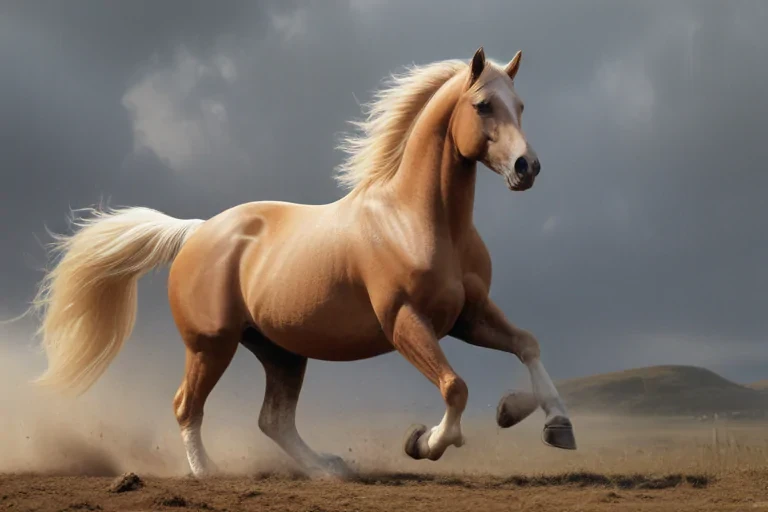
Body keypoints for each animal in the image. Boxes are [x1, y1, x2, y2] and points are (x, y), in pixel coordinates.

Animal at [26, 46, 576, 479]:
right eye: (483, 105)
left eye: (520, 106)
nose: (528, 168)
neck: (419, 221)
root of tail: (197, 231)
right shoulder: (405, 322)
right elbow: (455, 386)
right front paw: (424, 443)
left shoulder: (467, 315)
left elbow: (527, 344)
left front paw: (546, 421)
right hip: (211, 344)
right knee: (187, 405)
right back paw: (208, 473)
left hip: (281, 351)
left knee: (273, 420)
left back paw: (329, 468)